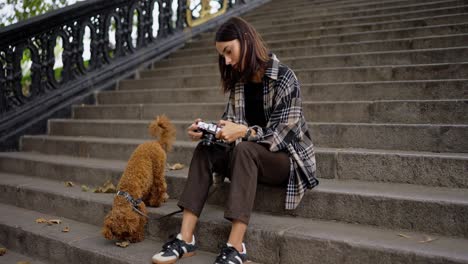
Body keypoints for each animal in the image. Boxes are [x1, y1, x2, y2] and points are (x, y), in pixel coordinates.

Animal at [102, 114, 176, 242]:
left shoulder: (139, 206)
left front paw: (138, 235)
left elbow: (141, 220)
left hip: (157, 170)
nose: (125, 240)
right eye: (117, 233)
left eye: (126, 231)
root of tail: (156, 142)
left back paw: (156, 202)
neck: (125, 194)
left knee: (160, 186)